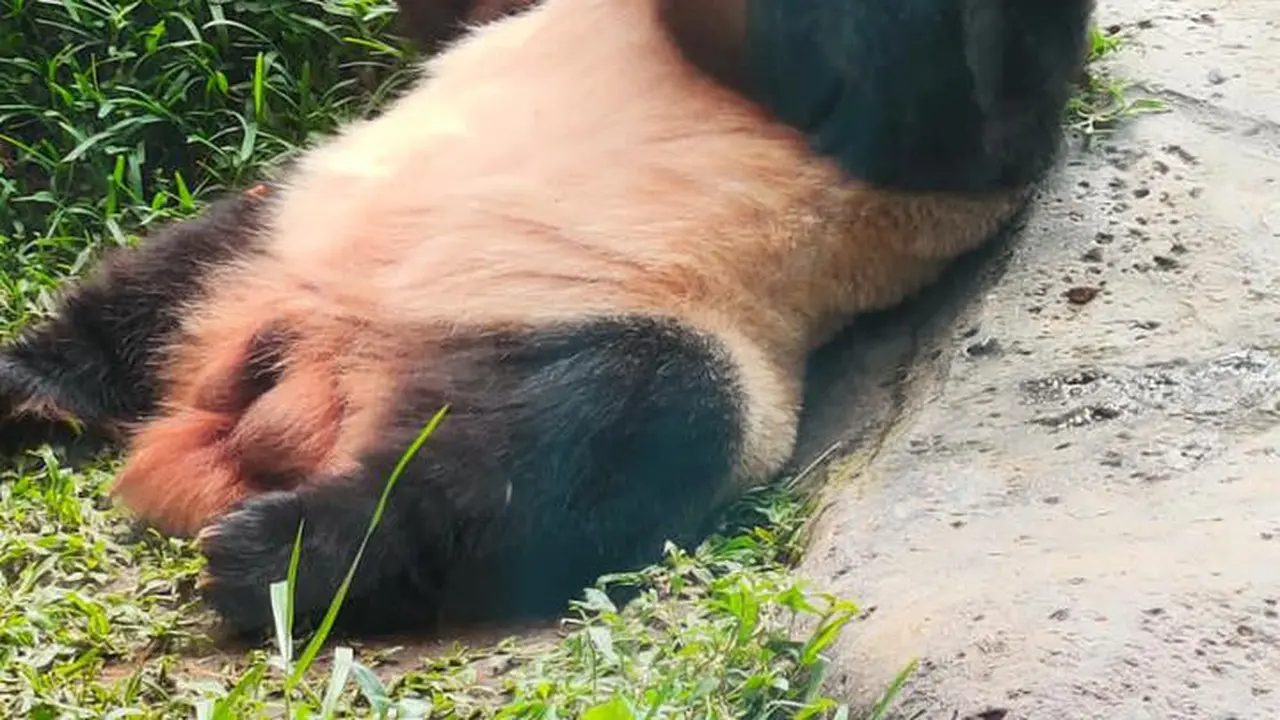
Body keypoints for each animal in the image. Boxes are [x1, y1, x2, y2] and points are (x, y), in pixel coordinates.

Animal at [0, 0, 1093, 636]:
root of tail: (309, 384)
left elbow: (918, 97)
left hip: (661, 324)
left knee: (576, 442)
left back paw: (279, 556)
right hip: (285, 229)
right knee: (149, 287)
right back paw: (32, 387)